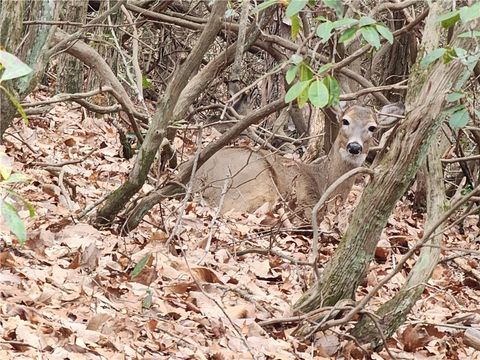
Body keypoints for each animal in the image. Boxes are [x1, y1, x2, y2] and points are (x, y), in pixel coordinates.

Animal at [191, 102, 404, 218]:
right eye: (345, 121)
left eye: (372, 127)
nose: (354, 147)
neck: (323, 181)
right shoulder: (306, 197)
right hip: (254, 181)